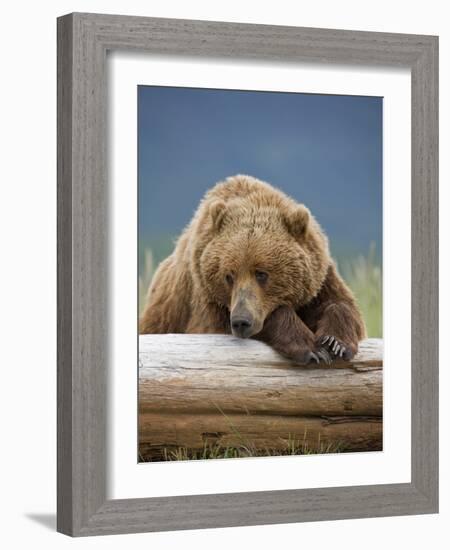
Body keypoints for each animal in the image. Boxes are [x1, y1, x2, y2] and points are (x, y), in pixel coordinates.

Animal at [140, 176, 366, 366]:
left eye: (262, 274)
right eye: (228, 276)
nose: (241, 321)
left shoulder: (319, 279)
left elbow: (341, 304)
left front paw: (335, 342)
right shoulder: (207, 298)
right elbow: (220, 328)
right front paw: (312, 349)